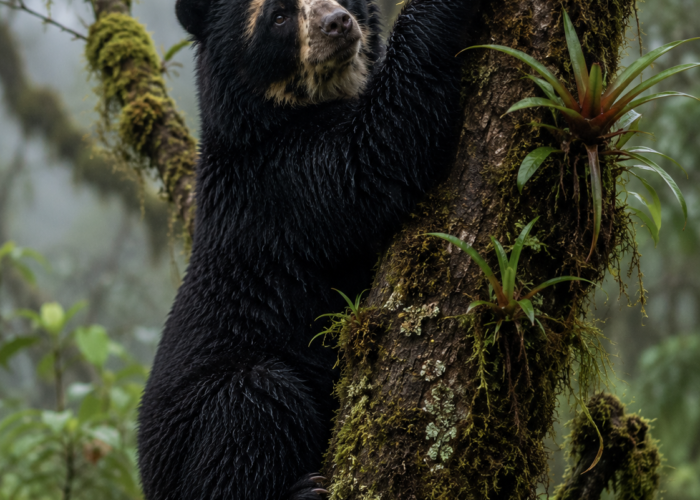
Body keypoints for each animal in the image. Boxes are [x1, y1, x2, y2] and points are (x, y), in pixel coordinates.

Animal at [137, 0, 482, 496]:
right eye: (278, 17)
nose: (337, 23)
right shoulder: (280, 181)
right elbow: (370, 155)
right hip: (200, 421)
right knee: (254, 404)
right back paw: (304, 489)